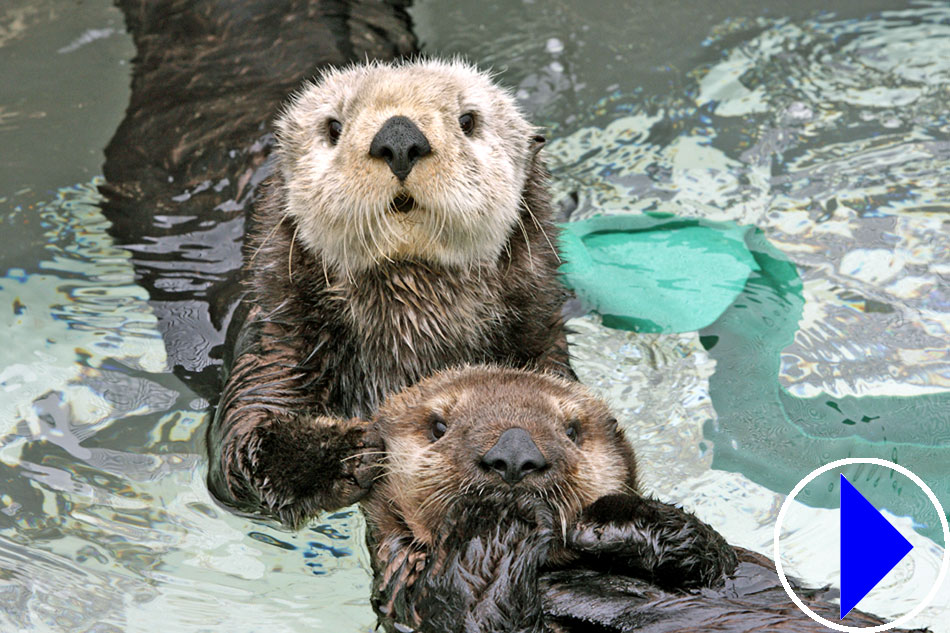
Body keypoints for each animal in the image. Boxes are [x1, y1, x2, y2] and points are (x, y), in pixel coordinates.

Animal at [207, 59, 572, 524]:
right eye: (333, 126)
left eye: (468, 120)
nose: (399, 138)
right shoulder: (277, 339)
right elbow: (244, 443)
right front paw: (351, 451)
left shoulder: (537, 339)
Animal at [366, 366, 928, 632]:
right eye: (439, 426)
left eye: (572, 429)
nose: (514, 453)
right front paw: (502, 518)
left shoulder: (736, 567)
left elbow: (710, 553)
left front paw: (600, 525)